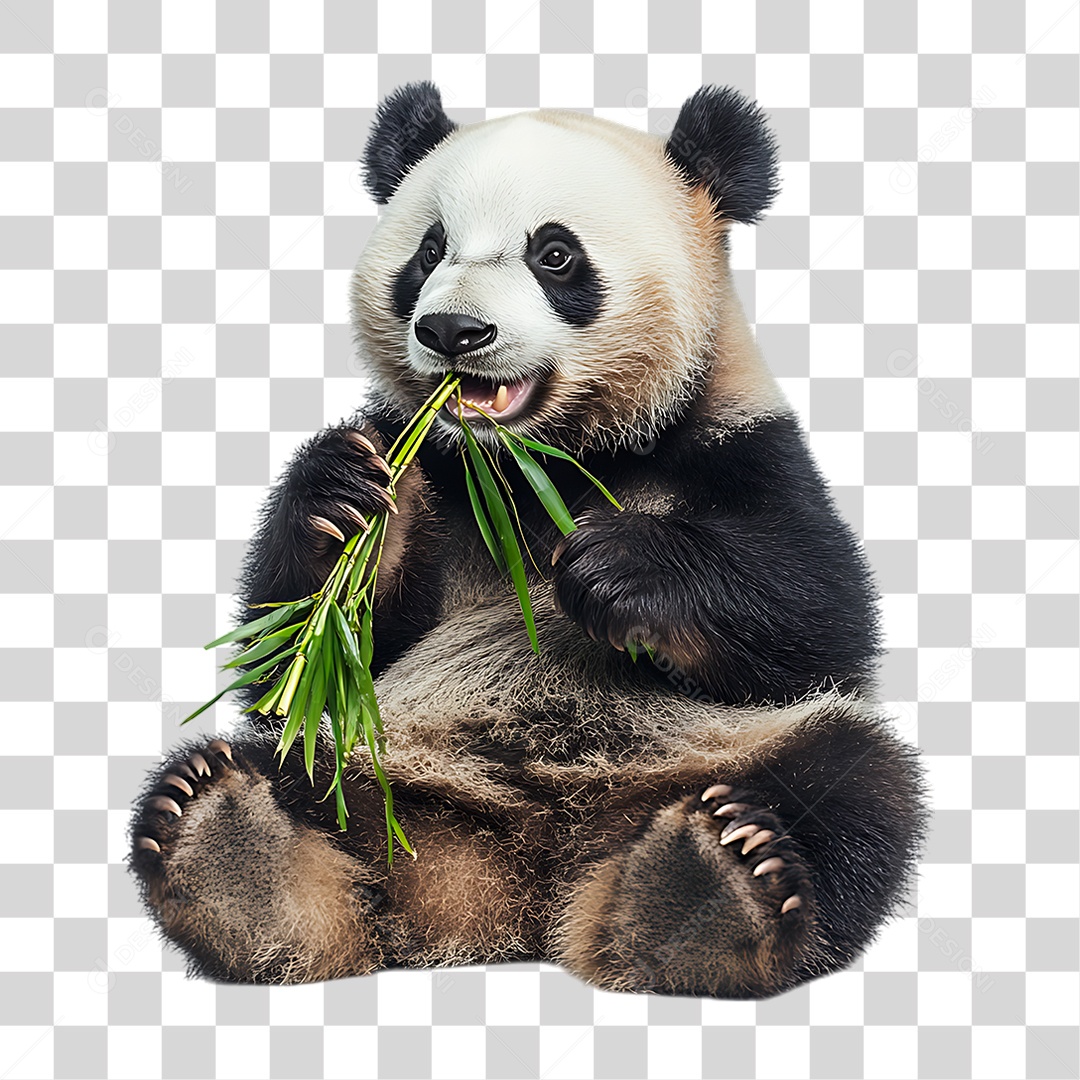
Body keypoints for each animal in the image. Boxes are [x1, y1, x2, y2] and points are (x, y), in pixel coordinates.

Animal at [132, 83, 928, 997]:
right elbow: (291, 659)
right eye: (429, 251)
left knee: (852, 777)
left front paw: (618, 568)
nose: (452, 332)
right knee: (285, 766)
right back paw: (229, 848)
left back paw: (713, 891)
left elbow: (821, 617)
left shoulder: (739, 445)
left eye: (554, 255)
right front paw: (344, 501)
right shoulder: (428, 458)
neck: (535, 460)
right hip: (374, 763)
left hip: (725, 751)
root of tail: (520, 882)